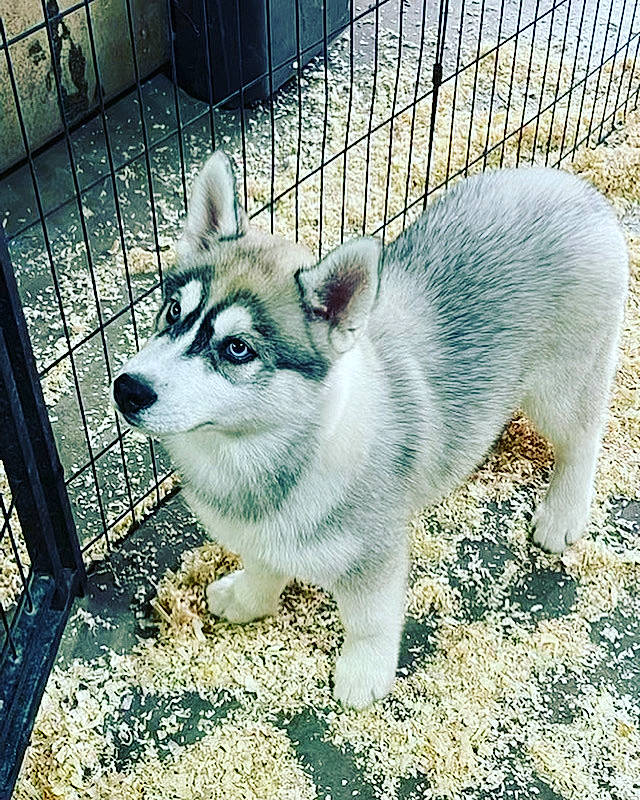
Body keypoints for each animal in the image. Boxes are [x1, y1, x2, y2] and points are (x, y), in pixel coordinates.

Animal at [112, 151, 628, 708]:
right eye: (172, 311)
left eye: (237, 349)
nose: (128, 389)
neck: (264, 447)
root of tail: (576, 187)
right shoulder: (263, 535)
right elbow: (264, 564)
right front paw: (249, 598)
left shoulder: (373, 558)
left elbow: (370, 621)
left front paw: (364, 673)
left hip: (563, 386)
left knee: (582, 438)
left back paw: (563, 513)